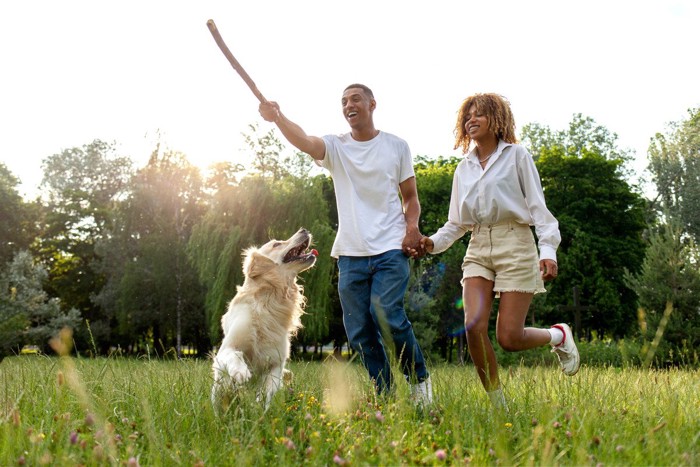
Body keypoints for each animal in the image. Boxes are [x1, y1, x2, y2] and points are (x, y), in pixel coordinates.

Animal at [208, 229, 318, 412]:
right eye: (276, 244)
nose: (304, 230)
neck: (271, 299)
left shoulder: (276, 362)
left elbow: (268, 390)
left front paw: (261, 409)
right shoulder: (227, 348)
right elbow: (235, 355)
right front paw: (241, 372)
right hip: (218, 390)